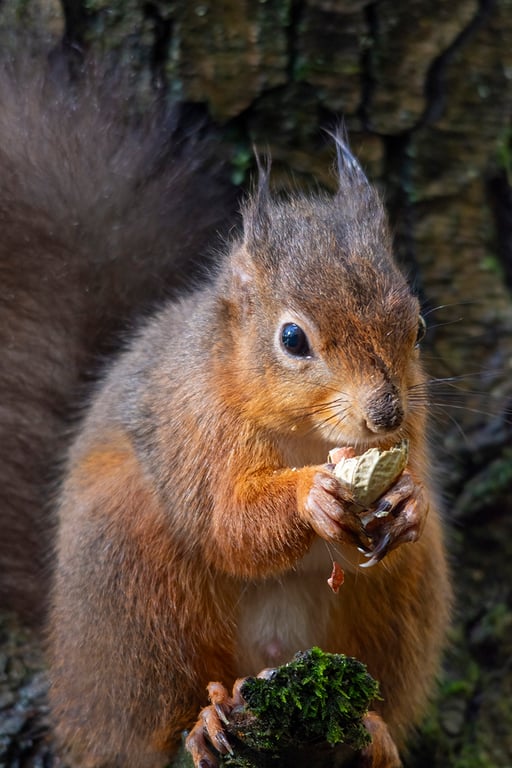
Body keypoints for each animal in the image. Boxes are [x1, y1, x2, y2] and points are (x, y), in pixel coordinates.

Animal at [0, 49, 451, 768]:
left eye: (418, 327)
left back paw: (376, 728)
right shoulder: (195, 424)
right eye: (292, 339)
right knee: (153, 719)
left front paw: (408, 501)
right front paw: (311, 496)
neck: (306, 435)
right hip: (133, 586)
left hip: (396, 609)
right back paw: (202, 721)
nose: (385, 416)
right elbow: (227, 521)